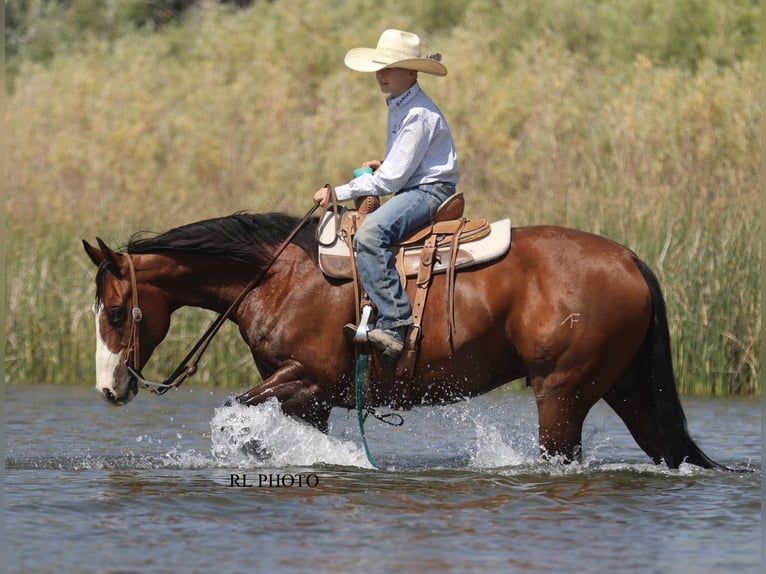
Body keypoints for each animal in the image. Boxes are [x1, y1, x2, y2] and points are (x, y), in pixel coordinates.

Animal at [83, 211, 729, 470]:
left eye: (115, 311)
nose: (110, 389)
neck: (280, 277)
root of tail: (629, 261)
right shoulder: (307, 400)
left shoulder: (305, 378)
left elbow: (231, 415)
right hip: (626, 389)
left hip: (563, 392)